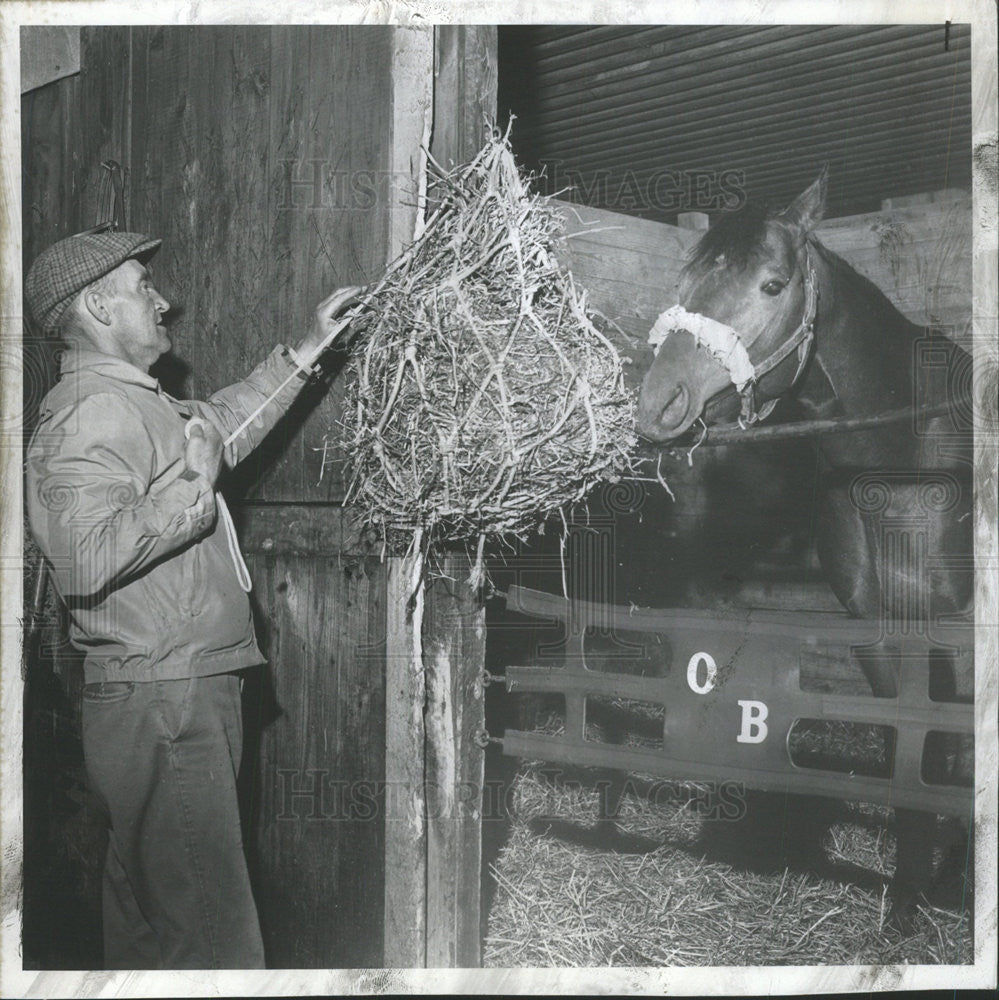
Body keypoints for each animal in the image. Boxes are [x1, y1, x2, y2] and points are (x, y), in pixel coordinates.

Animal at [636, 172, 972, 928]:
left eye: (772, 284)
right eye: (685, 277)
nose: (657, 403)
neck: (900, 460)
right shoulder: (877, 630)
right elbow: (909, 753)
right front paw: (909, 899)